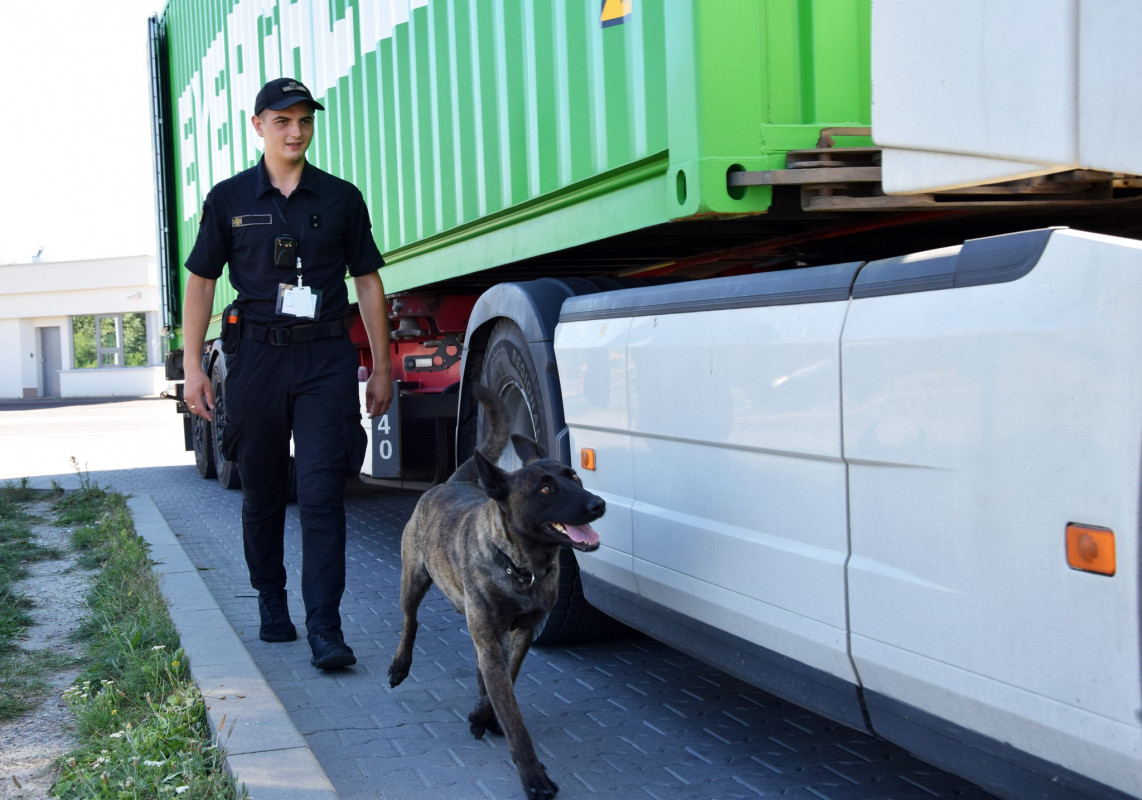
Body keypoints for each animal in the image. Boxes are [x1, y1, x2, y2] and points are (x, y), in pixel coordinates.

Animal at [390, 383, 607, 794]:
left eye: (574, 476)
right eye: (544, 489)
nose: (598, 504)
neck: (523, 567)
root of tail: (453, 482)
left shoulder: (520, 634)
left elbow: (507, 679)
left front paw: (483, 715)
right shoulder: (490, 637)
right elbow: (513, 716)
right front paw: (534, 776)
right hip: (413, 579)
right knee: (410, 621)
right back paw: (399, 664)